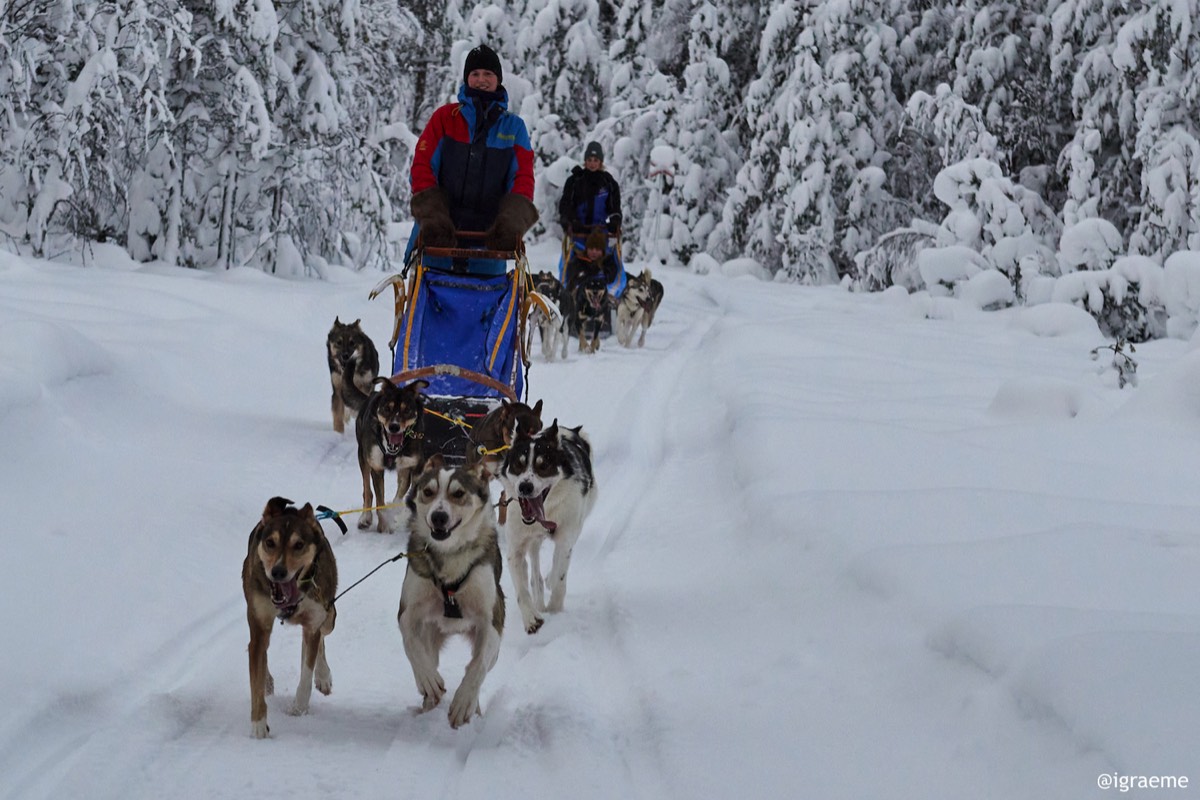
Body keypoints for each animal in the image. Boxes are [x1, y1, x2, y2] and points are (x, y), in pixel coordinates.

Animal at [241, 496, 338, 743]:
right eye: (270, 542)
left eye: (298, 544)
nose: (278, 571)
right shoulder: (259, 627)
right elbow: (255, 677)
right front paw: (258, 724)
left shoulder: (313, 622)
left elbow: (306, 670)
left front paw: (299, 706)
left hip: (329, 617)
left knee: (322, 637)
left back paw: (323, 676)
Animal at [396, 453, 504, 729]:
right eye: (428, 492)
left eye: (458, 493)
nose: (439, 517)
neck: (450, 555)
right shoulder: (408, 611)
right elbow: (411, 645)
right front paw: (429, 681)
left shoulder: (492, 618)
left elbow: (477, 667)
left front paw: (464, 702)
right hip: (430, 633)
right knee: (426, 654)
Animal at [496, 422, 595, 633]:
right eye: (519, 464)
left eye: (543, 466)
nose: (525, 487)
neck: (545, 515)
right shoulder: (515, 548)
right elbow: (521, 589)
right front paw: (531, 618)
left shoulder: (565, 539)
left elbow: (559, 573)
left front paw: (555, 607)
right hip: (531, 541)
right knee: (533, 566)